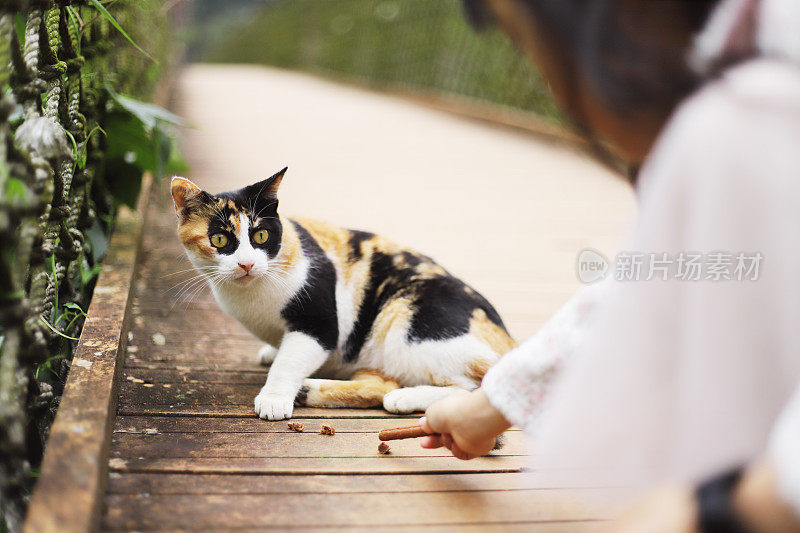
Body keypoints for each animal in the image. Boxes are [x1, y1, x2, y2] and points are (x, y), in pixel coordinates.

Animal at [172, 166, 516, 420]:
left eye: (261, 235)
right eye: (219, 240)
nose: (246, 263)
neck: (251, 297)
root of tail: (509, 341)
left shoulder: (321, 326)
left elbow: (288, 362)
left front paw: (273, 398)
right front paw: (273, 353)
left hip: (405, 321)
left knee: (478, 388)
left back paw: (403, 397)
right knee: (381, 385)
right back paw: (312, 390)